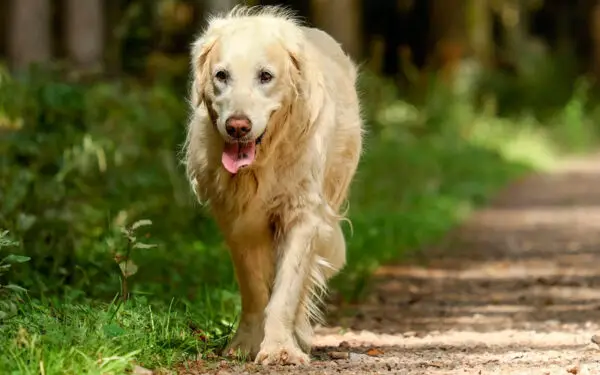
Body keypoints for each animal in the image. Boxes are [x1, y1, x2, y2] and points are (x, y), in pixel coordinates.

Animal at [184, 5, 360, 368]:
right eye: (221, 75)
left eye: (265, 76)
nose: (237, 126)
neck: (262, 163)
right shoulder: (237, 222)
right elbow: (253, 289)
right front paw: (246, 343)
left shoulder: (303, 215)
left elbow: (286, 290)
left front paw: (280, 348)